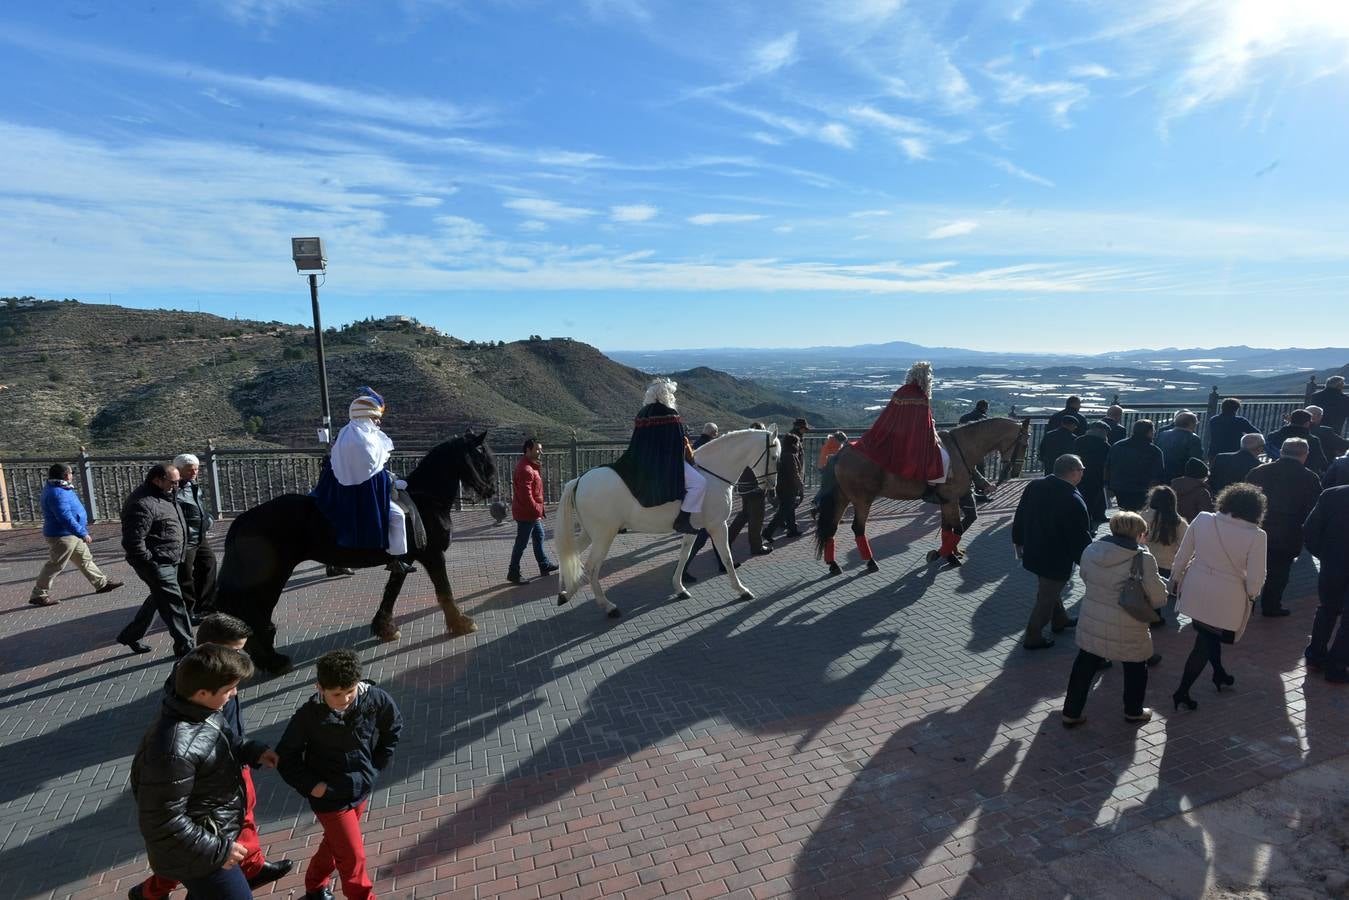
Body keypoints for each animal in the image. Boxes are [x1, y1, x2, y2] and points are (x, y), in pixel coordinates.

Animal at [215, 431, 496, 674]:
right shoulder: (433, 555)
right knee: (255, 614)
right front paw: (461, 623)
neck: (425, 499)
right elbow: (444, 590)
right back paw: (273, 660)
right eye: (481, 455)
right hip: (271, 579)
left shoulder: (404, 559)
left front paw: (385, 628)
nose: (491, 490)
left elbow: (392, 592)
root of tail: (243, 519)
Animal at [553, 429, 782, 620]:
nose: (772, 489)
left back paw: (566, 593)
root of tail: (580, 480)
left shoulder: (693, 529)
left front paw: (679, 588)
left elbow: (684, 555)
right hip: (604, 536)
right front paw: (741, 590)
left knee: (570, 556)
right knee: (591, 568)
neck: (713, 474)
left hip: (589, 533)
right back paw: (608, 606)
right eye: (774, 457)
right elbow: (726, 556)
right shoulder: (718, 525)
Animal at [809, 418, 1030, 574]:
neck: (959, 450)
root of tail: (841, 453)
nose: (1015, 472)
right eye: (1025, 444)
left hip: (842, 498)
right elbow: (956, 528)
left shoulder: (946, 501)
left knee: (831, 528)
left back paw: (833, 564)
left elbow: (947, 528)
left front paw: (949, 554)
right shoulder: (951, 500)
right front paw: (943, 555)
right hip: (862, 500)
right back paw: (870, 562)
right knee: (858, 528)